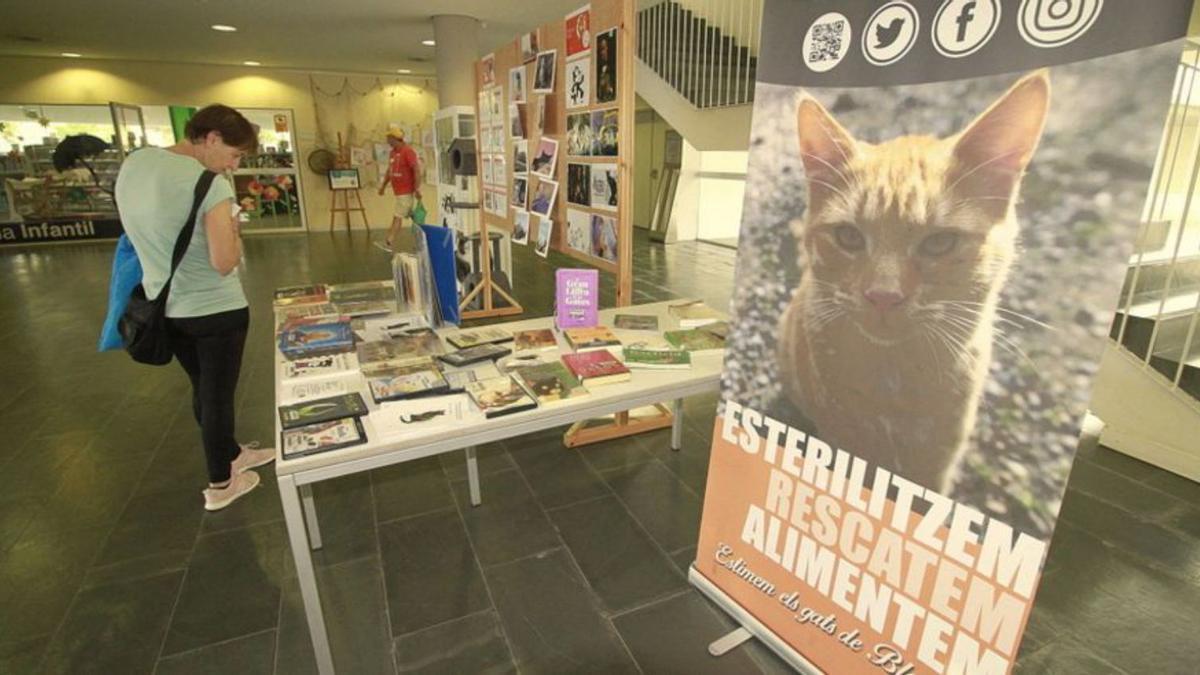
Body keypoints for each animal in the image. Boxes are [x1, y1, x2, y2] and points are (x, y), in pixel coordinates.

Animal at [777, 70, 1051, 492]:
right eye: (849, 237)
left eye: (939, 242)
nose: (883, 295)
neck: (896, 380)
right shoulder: (843, 438)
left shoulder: (938, 459)